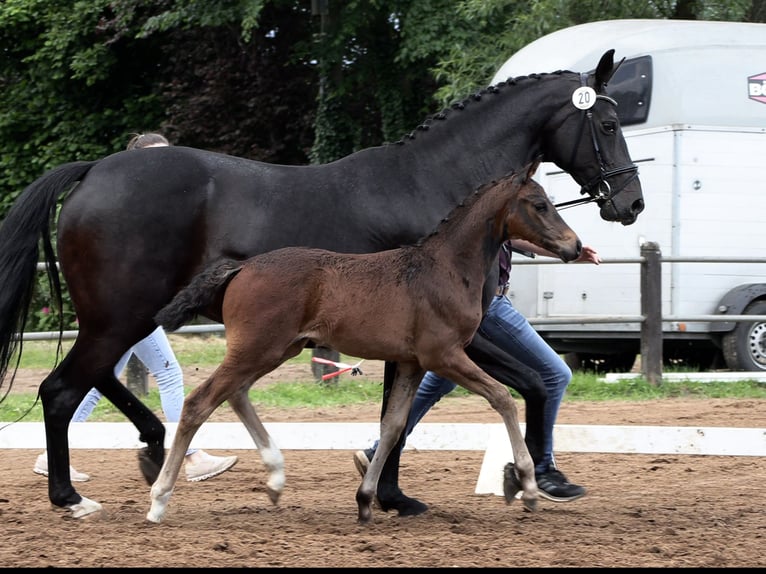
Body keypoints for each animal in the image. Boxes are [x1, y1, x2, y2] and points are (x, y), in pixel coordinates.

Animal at [148, 162, 584, 528]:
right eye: (540, 204)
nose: (575, 246)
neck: (443, 268)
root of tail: (242, 267)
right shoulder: (444, 355)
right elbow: (502, 398)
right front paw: (526, 485)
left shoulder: (412, 363)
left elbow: (392, 427)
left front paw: (365, 500)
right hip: (257, 348)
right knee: (199, 403)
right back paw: (159, 500)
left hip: (275, 350)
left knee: (236, 395)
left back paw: (275, 480)